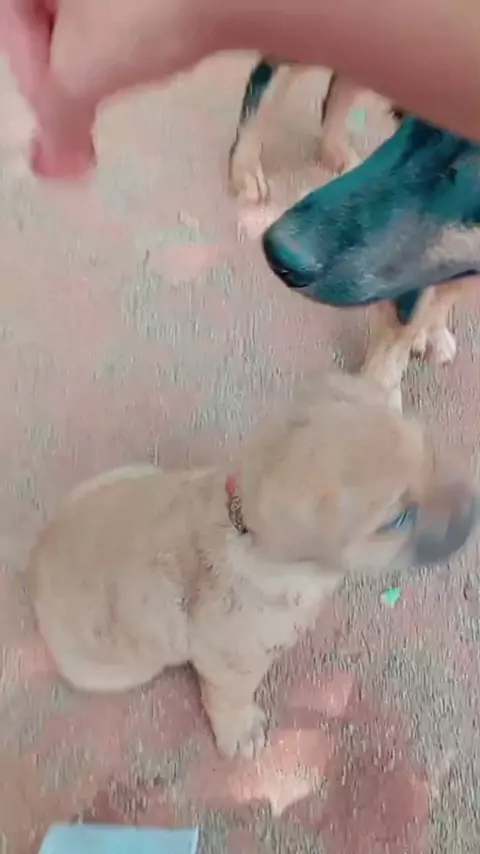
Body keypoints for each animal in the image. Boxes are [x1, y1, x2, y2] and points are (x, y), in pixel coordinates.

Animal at [29, 373, 478, 759]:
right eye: (401, 519)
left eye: (431, 452)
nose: (473, 511)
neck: (247, 532)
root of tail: (36, 555)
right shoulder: (231, 664)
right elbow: (231, 697)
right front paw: (240, 731)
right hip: (115, 669)